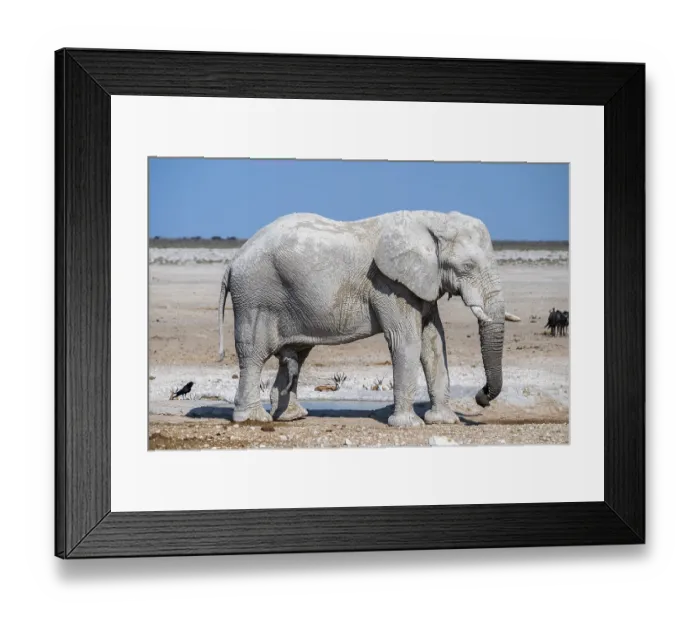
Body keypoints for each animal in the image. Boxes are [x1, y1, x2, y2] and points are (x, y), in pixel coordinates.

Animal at [218, 210, 520, 428]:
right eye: (467, 266)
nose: (482, 397)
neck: (433, 220)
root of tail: (233, 261)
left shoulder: (422, 283)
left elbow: (434, 342)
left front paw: (444, 421)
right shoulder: (390, 284)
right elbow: (406, 341)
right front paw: (408, 425)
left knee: (295, 356)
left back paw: (293, 416)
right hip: (255, 298)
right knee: (254, 354)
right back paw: (253, 419)